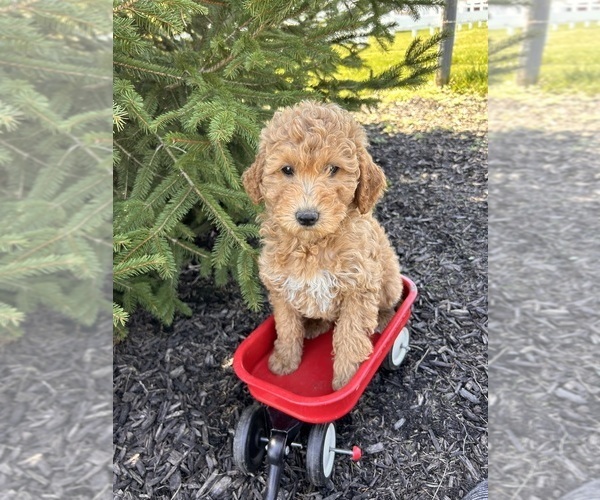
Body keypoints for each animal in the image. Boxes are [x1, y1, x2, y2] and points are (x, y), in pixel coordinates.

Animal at [243, 100, 404, 390]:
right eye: (287, 170)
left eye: (333, 169)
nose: (307, 216)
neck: (312, 246)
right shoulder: (281, 287)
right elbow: (287, 327)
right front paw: (284, 361)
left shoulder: (359, 288)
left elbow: (349, 336)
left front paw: (347, 381)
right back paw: (313, 326)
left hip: (389, 280)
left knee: (389, 302)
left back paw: (386, 321)